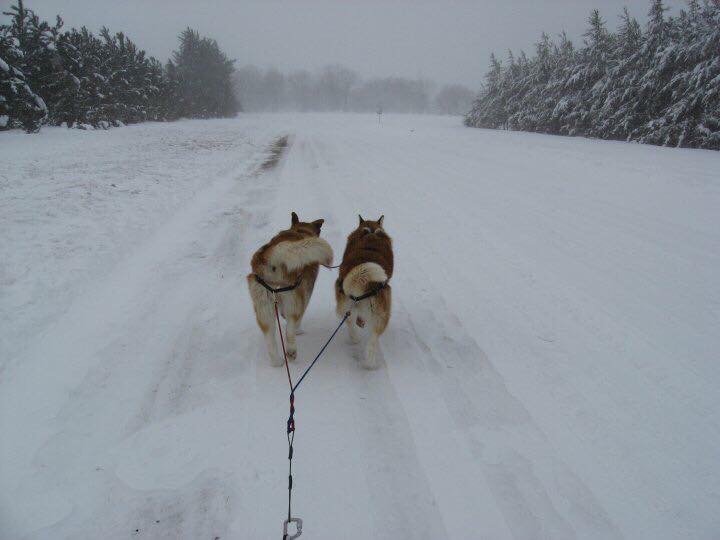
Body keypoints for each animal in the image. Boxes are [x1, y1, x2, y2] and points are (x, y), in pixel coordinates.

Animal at [247, 212, 333, 366]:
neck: (300, 231)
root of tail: (269, 255)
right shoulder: (306, 292)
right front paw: (298, 330)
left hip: (263, 304)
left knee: (270, 337)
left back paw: (277, 362)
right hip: (293, 297)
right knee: (289, 330)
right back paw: (292, 351)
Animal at [335, 215, 393, 369]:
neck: (371, 232)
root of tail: (365, 283)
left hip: (346, 307)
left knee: (351, 324)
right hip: (383, 314)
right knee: (373, 339)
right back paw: (370, 362)